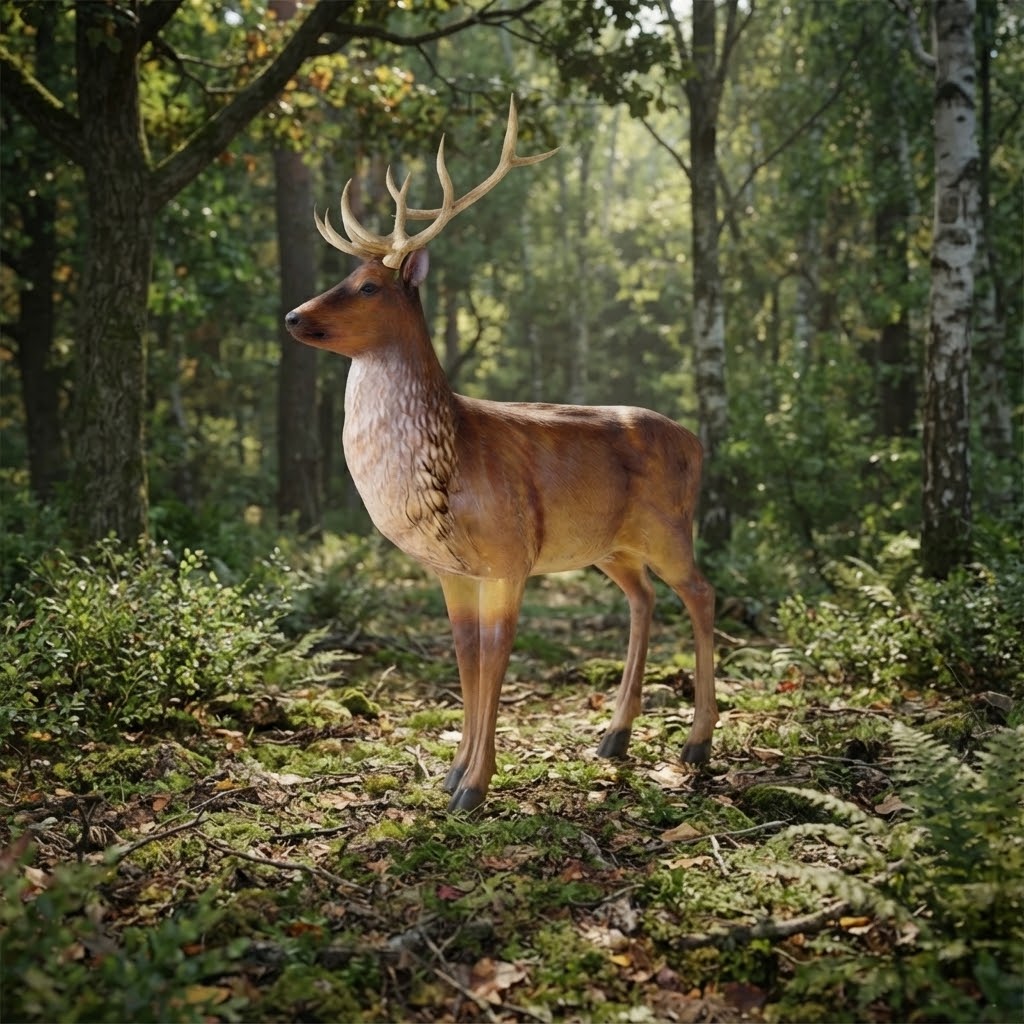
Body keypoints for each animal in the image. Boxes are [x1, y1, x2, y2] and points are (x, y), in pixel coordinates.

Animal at [285, 98, 718, 811]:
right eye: (345, 275)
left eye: (370, 286)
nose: (293, 316)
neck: (444, 466)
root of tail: (698, 443)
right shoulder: (451, 568)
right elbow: (464, 656)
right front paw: (453, 775)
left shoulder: (509, 554)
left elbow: (493, 657)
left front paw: (475, 787)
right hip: (609, 544)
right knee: (644, 599)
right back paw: (613, 738)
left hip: (668, 526)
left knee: (701, 594)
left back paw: (697, 746)